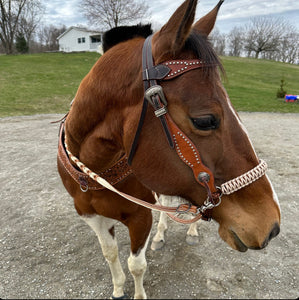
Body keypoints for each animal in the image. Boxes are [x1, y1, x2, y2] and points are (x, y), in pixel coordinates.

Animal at [56, 1, 282, 298]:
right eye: (205, 120)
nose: (271, 226)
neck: (95, 169)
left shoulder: (140, 217)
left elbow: (136, 264)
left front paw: (138, 293)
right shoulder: (92, 217)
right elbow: (110, 254)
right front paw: (118, 289)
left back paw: (192, 232)